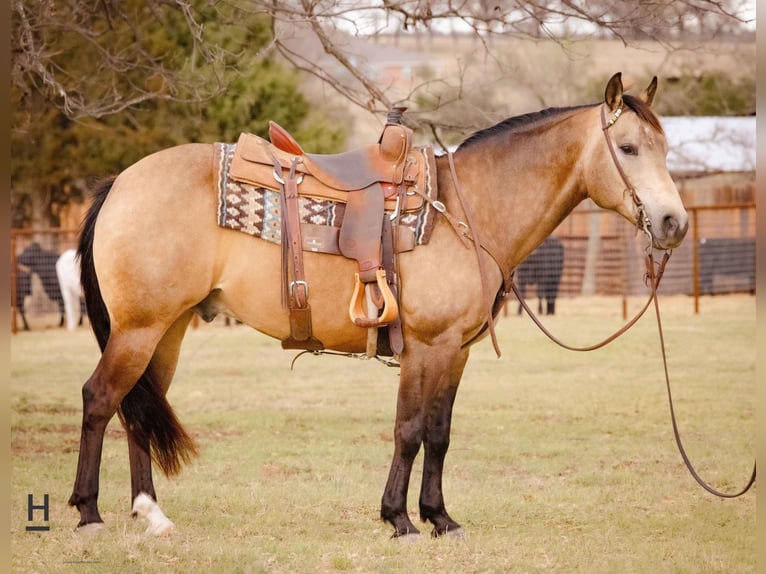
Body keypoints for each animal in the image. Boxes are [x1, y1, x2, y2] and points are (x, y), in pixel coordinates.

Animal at [66, 73, 688, 540]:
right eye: (628, 148)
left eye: (664, 148)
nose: (673, 223)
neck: (467, 209)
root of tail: (121, 181)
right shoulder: (426, 347)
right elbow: (408, 429)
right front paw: (400, 519)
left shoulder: (455, 352)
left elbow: (439, 431)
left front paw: (441, 518)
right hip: (139, 328)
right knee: (100, 398)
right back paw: (89, 512)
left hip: (165, 329)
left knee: (139, 408)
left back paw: (152, 514)